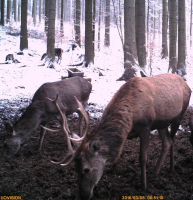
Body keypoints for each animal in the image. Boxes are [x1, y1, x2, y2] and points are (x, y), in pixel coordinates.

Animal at [41, 73, 191, 200]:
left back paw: (171, 169)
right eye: (75, 168)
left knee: (173, 140)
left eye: (86, 169)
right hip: (162, 124)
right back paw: (155, 173)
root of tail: (187, 85)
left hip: (179, 115)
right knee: (167, 142)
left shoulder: (146, 126)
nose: (83, 196)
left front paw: (143, 186)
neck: (130, 119)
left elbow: (142, 158)